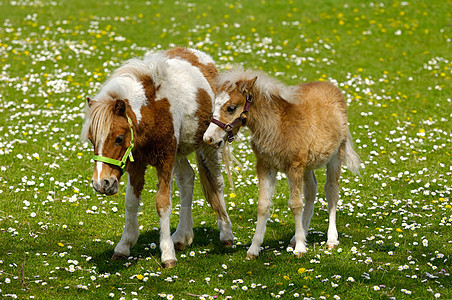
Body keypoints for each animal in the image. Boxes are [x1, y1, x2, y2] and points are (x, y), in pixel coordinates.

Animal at [81, 48, 235, 268]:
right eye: (92, 139)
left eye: (119, 138)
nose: (101, 183)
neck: (152, 111)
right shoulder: (137, 164)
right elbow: (131, 202)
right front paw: (123, 246)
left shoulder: (165, 160)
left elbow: (163, 204)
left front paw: (167, 254)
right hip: (180, 153)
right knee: (187, 180)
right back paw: (182, 236)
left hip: (209, 145)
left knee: (217, 183)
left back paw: (226, 234)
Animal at [203, 67, 358, 258]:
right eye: (214, 106)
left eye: (231, 108)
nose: (209, 138)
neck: (277, 126)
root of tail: (331, 86)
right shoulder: (265, 166)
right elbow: (263, 205)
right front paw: (253, 249)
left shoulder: (294, 167)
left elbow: (295, 204)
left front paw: (300, 248)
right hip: (307, 165)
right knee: (311, 191)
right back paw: (297, 237)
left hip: (336, 155)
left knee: (331, 190)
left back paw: (331, 239)